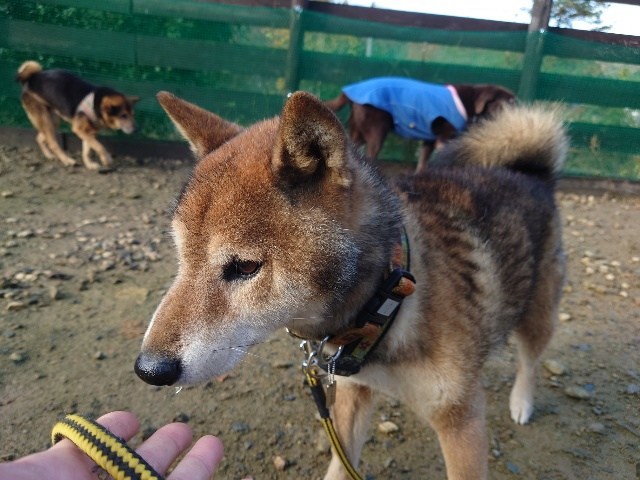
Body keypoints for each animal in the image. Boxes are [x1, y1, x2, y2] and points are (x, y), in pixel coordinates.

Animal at [134, 91, 564, 480]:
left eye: (244, 267)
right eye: (182, 256)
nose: (149, 370)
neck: (388, 301)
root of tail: (529, 173)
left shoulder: (461, 423)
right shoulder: (352, 395)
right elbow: (341, 464)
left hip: (538, 316)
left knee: (530, 359)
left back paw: (522, 403)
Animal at [328, 78, 516, 175]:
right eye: (508, 103)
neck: (470, 103)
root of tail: (349, 93)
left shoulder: (430, 141)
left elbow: (423, 162)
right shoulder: (444, 139)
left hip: (358, 132)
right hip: (377, 132)